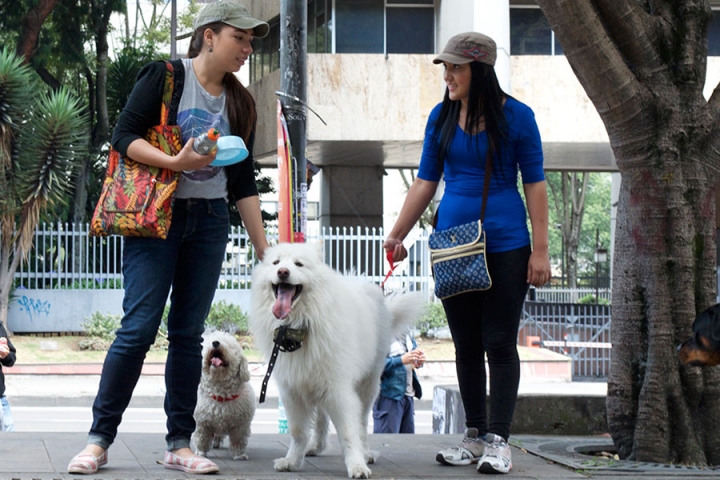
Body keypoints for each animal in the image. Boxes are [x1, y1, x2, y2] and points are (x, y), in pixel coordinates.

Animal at [252, 244, 424, 480]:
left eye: (298, 264)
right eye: (276, 263)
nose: (283, 272)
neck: (300, 326)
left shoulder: (339, 391)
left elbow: (349, 433)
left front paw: (357, 466)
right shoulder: (293, 391)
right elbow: (298, 432)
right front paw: (292, 461)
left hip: (367, 385)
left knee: (361, 423)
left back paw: (366, 453)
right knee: (322, 418)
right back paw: (315, 447)